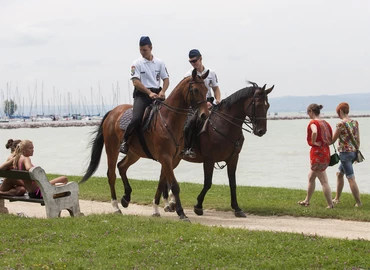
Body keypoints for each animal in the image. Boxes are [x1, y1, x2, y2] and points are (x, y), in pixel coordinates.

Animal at [81, 68, 210, 220]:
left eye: (206, 89)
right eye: (195, 90)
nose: (204, 115)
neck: (168, 120)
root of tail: (112, 112)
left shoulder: (172, 159)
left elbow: (161, 182)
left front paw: (156, 209)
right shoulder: (165, 158)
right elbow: (174, 185)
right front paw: (181, 213)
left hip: (134, 153)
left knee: (122, 166)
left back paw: (126, 198)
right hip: (112, 149)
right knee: (111, 174)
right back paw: (116, 207)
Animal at [163, 82, 274, 217]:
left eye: (267, 106)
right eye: (258, 105)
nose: (261, 131)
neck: (225, 125)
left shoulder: (233, 159)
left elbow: (233, 183)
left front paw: (237, 208)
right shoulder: (209, 160)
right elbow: (208, 183)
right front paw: (198, 206)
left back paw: (171, 203)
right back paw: (169, 204)